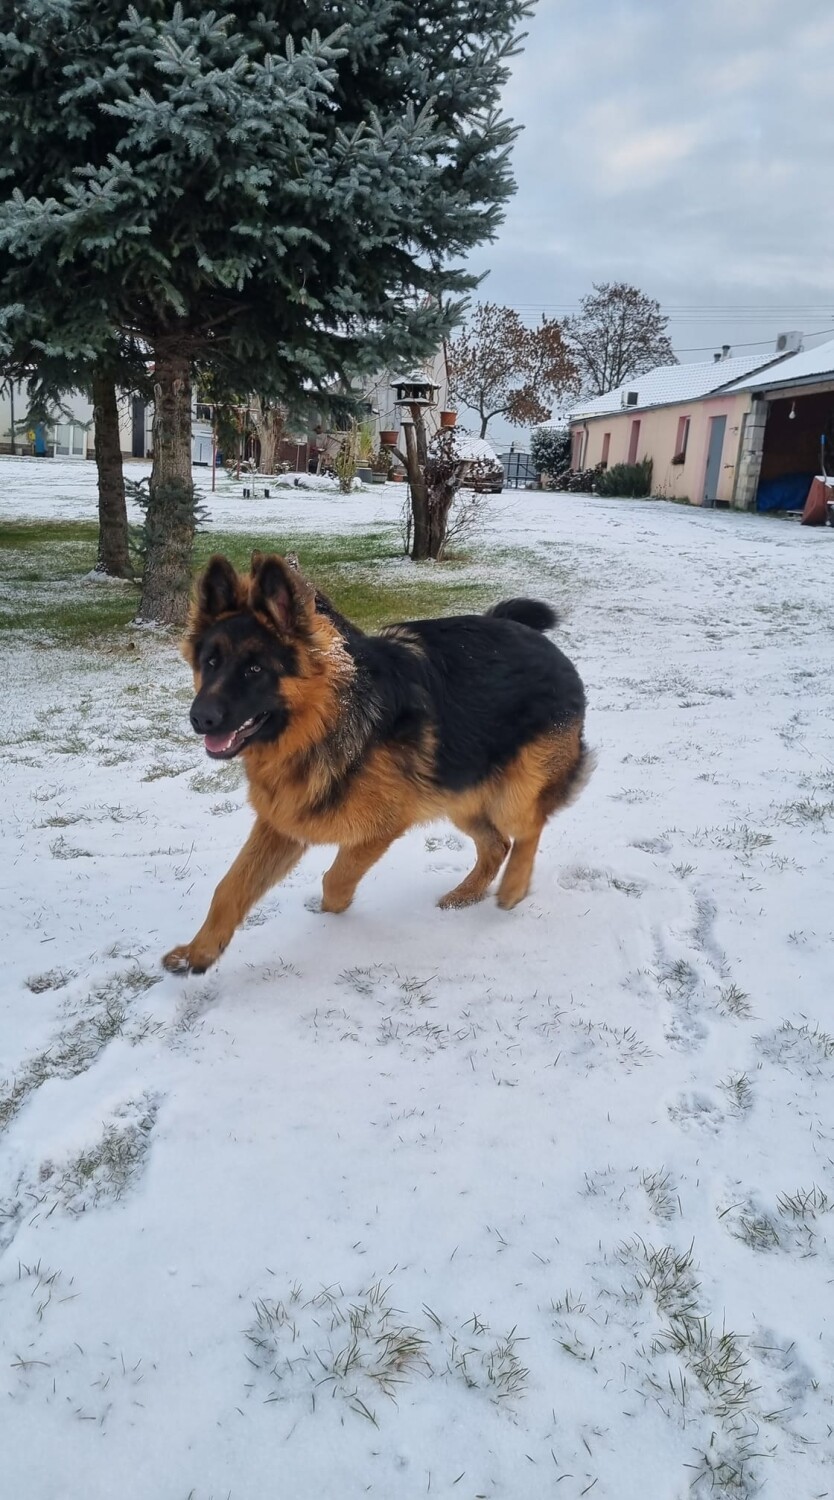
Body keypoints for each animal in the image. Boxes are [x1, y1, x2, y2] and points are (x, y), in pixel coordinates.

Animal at [162, 552, 591, 972]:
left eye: (255, 670)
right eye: (211, 663)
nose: (200, 719)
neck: (327, 718)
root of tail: (537, 638)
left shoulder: (382, 826)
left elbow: (335, 880)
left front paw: (335, 918)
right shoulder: (282, 821)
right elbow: (230, 887)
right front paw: (199, 952)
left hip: (511, 794)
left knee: (530, 825)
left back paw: (513, 887)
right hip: (460, 793)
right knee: (497, 844)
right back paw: (465, 894)